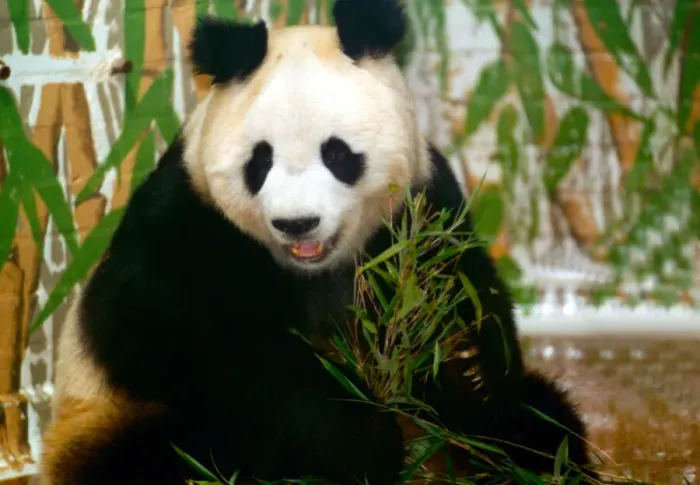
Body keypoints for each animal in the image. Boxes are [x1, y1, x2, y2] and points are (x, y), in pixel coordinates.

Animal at [40, 1, 599, 485]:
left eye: (337, 154)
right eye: (260, 160)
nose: (297, 223)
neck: (315, 268)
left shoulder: (420, 212)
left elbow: (463, 301)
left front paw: (465, 371)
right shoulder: (186, 221)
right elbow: (168, 331)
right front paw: (362, 439)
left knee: (546, 420)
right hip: (105, 419)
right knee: (151, 455)